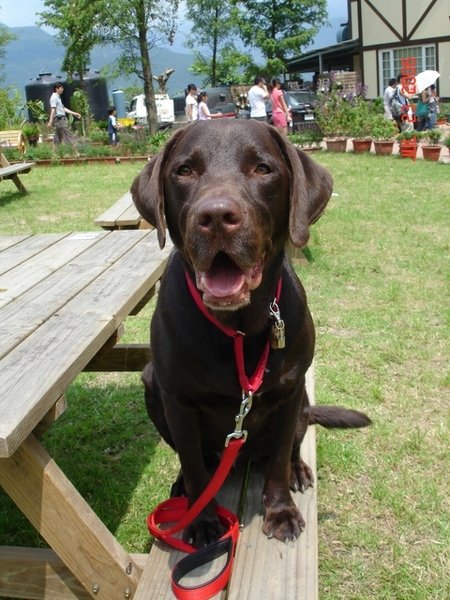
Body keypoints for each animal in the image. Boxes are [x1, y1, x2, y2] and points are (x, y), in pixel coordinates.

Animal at [132, 120, 370, 548]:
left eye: (262, 169)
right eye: (184, 171)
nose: (216, 216)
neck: (238, 326)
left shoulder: (289, 392)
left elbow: (276, 459)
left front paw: (280, 512)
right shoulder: (177, 400)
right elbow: (194, 465)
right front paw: (202, 518)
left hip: (302, 399)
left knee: (291, 445)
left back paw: (298, 471)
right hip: (151, 383)